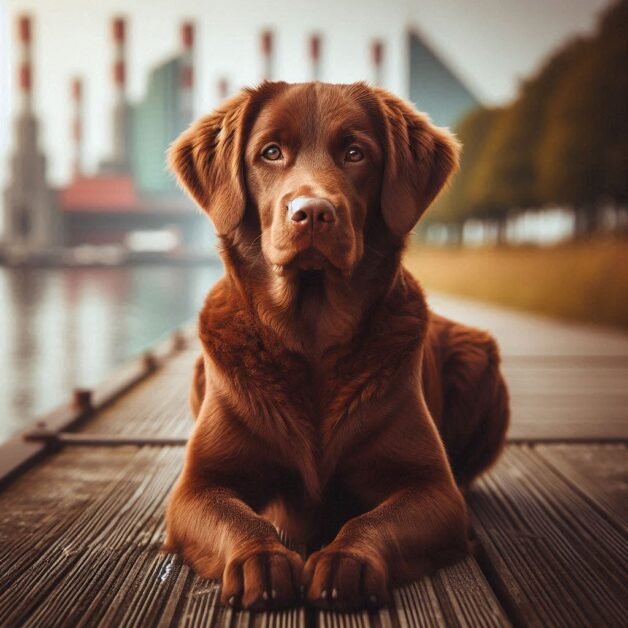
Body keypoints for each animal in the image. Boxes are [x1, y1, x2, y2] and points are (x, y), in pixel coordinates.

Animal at [164, 81, 508, 612]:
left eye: (354, 153)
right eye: (270, 152)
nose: (312, 212)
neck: (311, 339)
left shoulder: (433, 489)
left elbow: (373, 519)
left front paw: (347, 561)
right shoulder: (198, 487)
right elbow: (240, 518)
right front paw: (263, 561)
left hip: (479, 359)